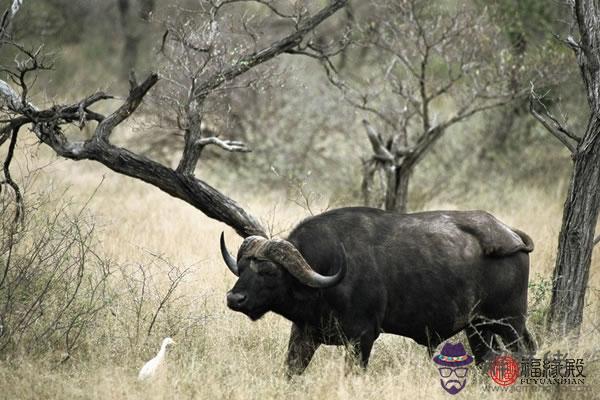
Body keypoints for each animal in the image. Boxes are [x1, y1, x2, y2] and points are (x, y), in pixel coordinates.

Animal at [219, 206, 536, 376]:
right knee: (486, 359)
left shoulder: (362, 338)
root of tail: (511, 235)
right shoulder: (303, 334)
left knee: (525, 351)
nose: (235, 299)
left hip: (510, 323)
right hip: (478, 328)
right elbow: (291, 370)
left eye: (269, 272)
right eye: (243, 268)